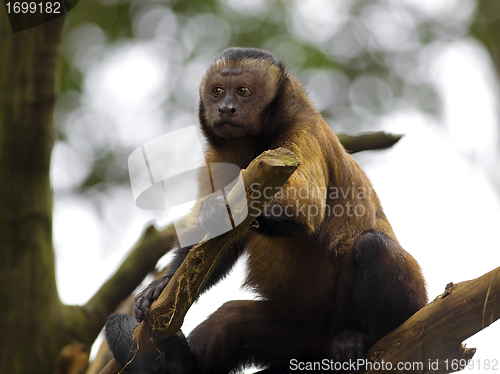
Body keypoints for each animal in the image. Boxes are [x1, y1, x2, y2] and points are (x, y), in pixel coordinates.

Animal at [104, 48, 426, 374]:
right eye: (217, 91)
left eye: (243, 92)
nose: (226, 108)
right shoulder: (218, 156)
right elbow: (213, 252)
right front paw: (160, 287)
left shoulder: (301, 133)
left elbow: (304, 212)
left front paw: (220, 208)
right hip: (296, 336)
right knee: (230, 320)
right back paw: (181, 363)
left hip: (411, 307)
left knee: (374, 246)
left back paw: (362, 335)